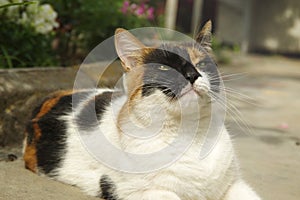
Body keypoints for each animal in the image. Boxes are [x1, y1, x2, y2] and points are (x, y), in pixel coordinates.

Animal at [22, 21, 260, 199]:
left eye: (200, 64)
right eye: (164, 67)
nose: (192, 75)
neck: (189, 136)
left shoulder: (234, 185)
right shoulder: (138, 191)